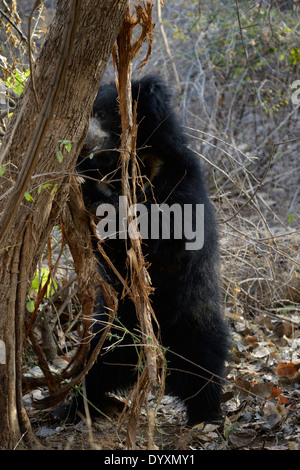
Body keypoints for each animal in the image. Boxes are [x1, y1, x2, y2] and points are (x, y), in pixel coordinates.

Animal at [74, 75, 227, 424]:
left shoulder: (176, 181)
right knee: (93, 368)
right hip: (111, 332)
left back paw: (205, 414)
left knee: (206, 366)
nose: (81, 143)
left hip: (194, 322)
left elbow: (162, 232)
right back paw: (73, 406)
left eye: (102, 113)